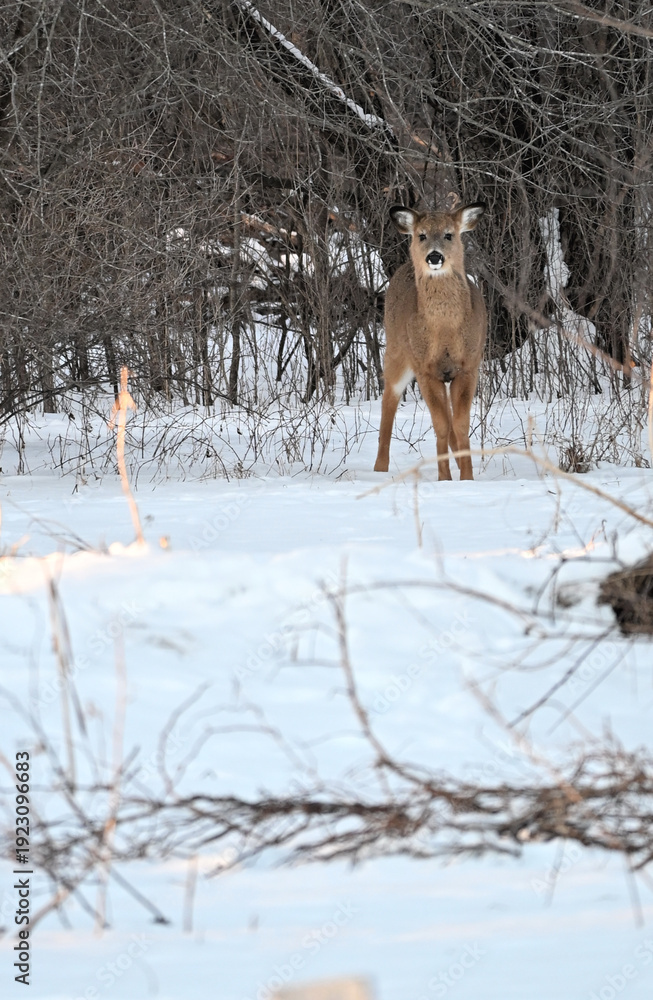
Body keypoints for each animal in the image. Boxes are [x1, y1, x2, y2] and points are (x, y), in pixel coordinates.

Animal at [374, 203, 487, 481]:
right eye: (422, 235)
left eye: (449, 234)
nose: (434, 257)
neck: (445, 331)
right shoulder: (425, 369)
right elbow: (441, 425)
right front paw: (444, 478)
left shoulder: (468, 366)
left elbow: (459, 423)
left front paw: (467, 478)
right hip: (397, 351)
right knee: (389, 398)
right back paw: (380, 467)